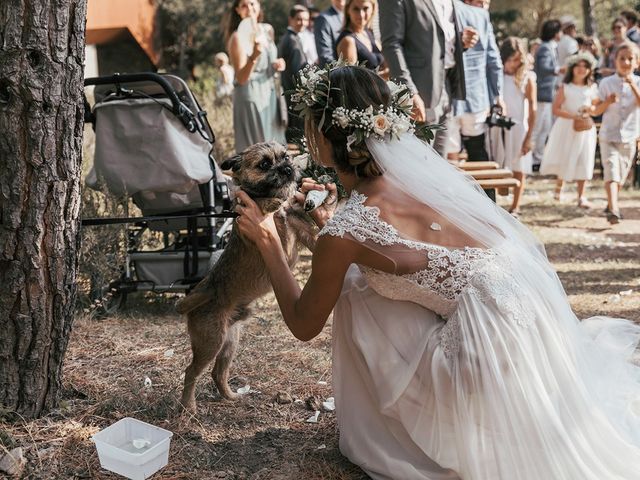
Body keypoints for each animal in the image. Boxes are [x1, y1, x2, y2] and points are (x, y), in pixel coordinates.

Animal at [175, 142, 318, 412]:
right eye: (264, 164)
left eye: (286, 157)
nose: (287, 169)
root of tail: (200, 294)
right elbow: (260, 201)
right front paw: (271, 201)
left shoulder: (301, 229)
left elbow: (315, 233)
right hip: (211, 342)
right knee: (191, 372)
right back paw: (189, 407)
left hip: (229, 344)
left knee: (217, 373)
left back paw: (230, 396)